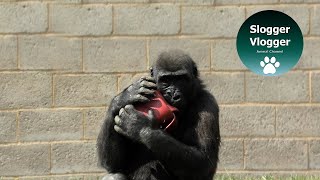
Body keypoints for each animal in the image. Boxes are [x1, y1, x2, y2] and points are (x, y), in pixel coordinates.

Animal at [97, 49, 221, 180]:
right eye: (165, 80)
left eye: (181, 79)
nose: (173, 95)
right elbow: (115, 164)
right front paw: (124, 97)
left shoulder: (207, 104)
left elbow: (204, 161)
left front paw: (141, 127)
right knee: (114, 175)